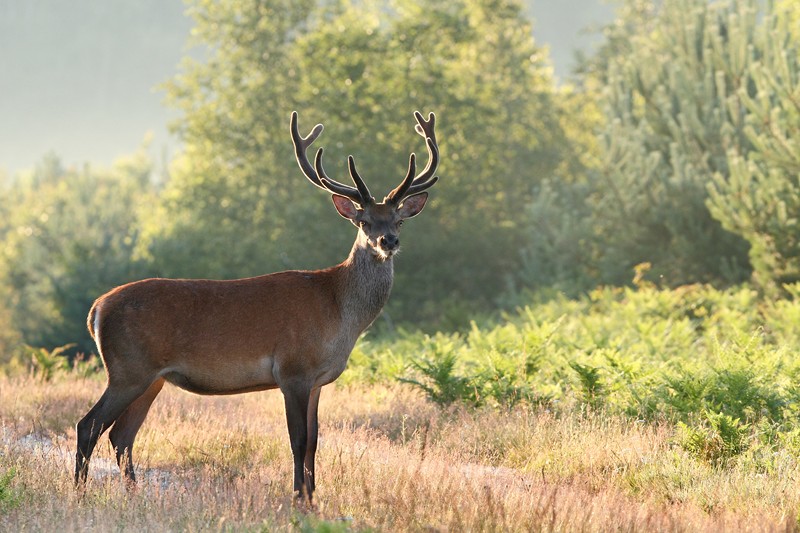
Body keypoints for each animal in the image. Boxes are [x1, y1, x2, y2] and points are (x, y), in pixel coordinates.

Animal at [73, 110, 444, 500]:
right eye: (364, 221)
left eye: (399, 219)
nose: (389, 241)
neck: (339, 311)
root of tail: (97, 309)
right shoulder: (293, 369)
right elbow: (298, 440)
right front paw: (298, 497)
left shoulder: (316, 381)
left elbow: (314, 443)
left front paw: (313, 497)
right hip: (127, 368)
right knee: (89, 426)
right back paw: (80, 493)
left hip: (151, 377)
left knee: (120, 435)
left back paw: (133, 493)